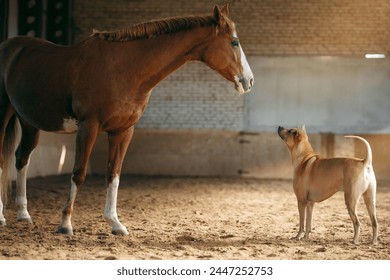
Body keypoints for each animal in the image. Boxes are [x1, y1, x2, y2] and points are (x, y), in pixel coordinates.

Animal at [0, 5, 253, 235]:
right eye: (234, 43)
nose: (248, 81)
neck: (123, 69)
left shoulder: (123, 130)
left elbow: (114, 174)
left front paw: (115, 223)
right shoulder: (88, 126)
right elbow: (78, 173)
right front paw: (65, 224)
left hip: (29, 123)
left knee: (21, 159)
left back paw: (23, 214)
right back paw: (3, 217)